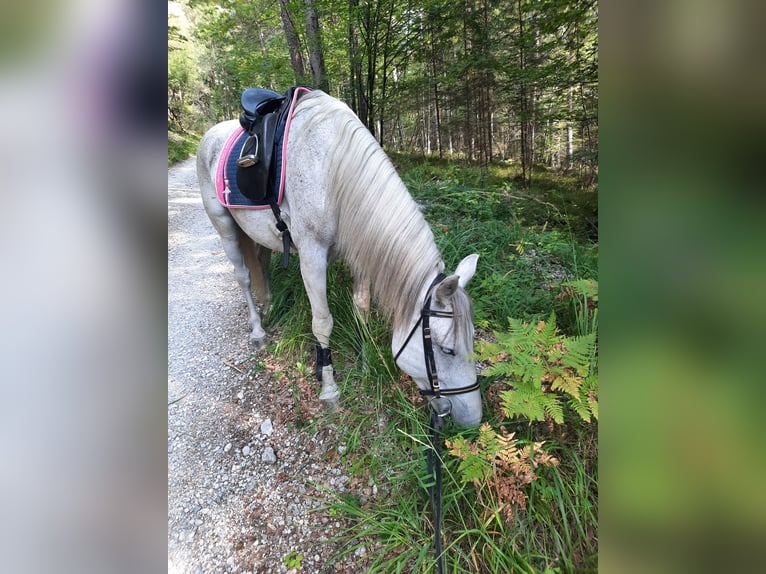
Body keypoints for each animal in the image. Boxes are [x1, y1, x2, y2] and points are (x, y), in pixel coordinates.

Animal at [198, 91, 486, 428]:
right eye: (447, 350)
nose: (474, 418)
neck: (333, 168)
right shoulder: (311, 254)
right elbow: (322, 322)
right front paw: (329, 390)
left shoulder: (359, 254)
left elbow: (361, 308)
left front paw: (364, 362)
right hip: (224, 226)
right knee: (243, 276)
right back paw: (258, 330)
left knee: (261, 265)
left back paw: (268, 305)